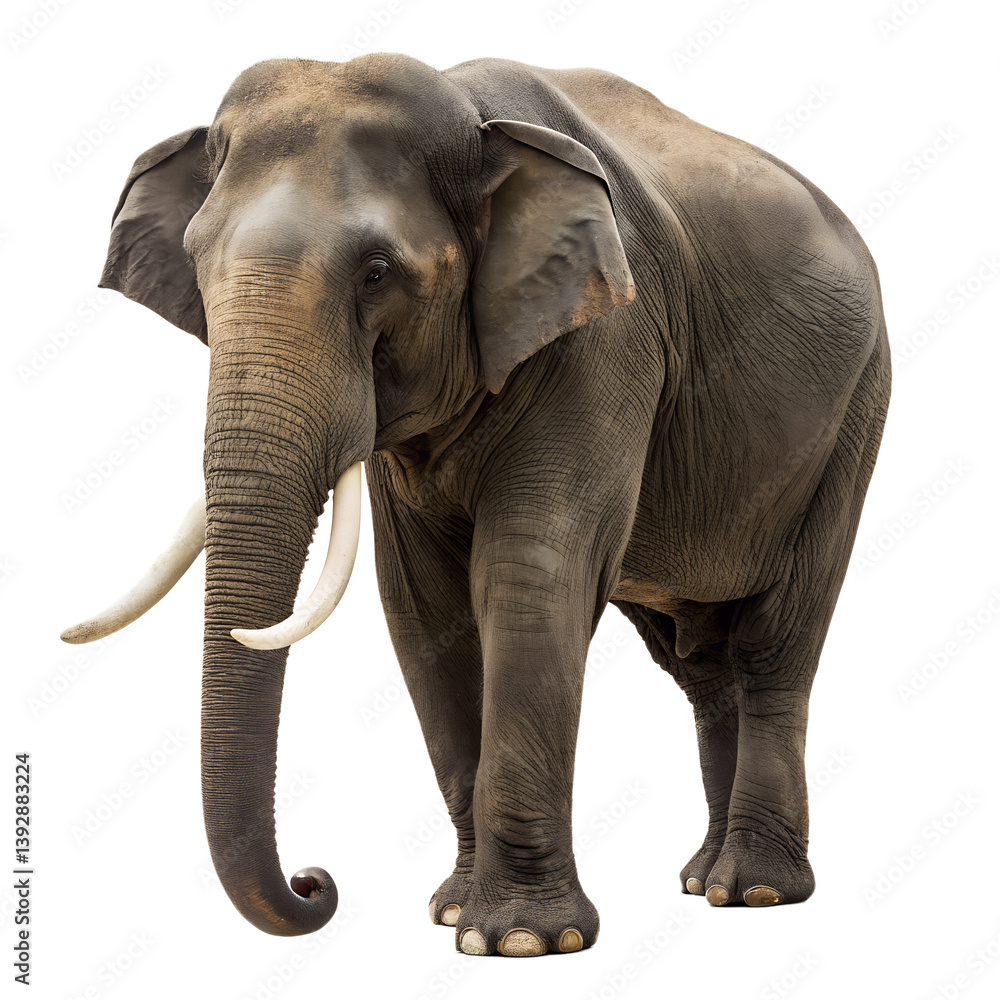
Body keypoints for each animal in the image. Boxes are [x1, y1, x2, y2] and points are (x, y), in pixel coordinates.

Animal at [62, 53, 891, 956]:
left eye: (377, 273)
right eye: (197, 266)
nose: (317, 883)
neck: (471, 114)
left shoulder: (607, 338)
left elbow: (527, 576)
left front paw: (522, 941)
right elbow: (425, 608)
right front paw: (457, 914)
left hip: (854, 412)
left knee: (774, 641)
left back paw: (755, 892)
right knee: (701, 663)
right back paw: (702, 880)